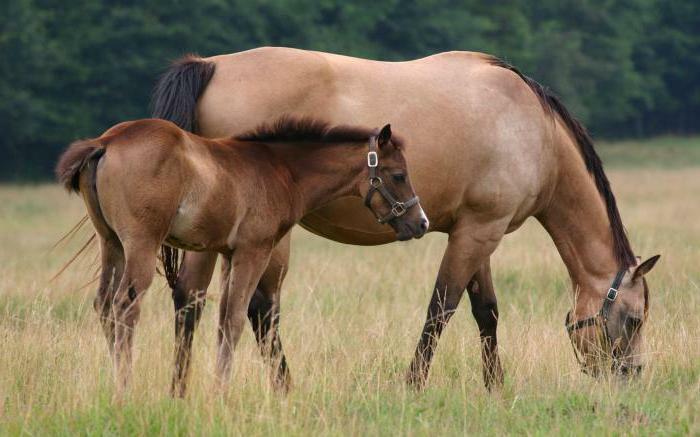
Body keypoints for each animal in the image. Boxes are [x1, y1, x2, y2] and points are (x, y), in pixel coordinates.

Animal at [57, 115, 426, 392]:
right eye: (399, 175)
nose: (420, 222)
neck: (280, 170)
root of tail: (106, 142)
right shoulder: (254, 251)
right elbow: (234, 319)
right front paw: (220, 391)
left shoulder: (228, 253)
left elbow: (223, 318)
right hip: (141, 245)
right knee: (125, 306)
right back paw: (125, 388)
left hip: (111, 244)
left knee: (104, 304)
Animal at [150, 46, 660, 396]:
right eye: (634, 320)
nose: (630, 377)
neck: (533, 131)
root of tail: (210, 65)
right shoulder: (481, 231)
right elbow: (442, 308)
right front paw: (413, 383)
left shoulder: (476, 230)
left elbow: (486, 310)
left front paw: (495, 385)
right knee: (259, 309)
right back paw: (282, 387)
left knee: (191, 299)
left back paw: (182, 389)